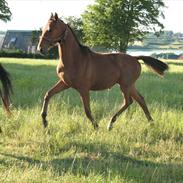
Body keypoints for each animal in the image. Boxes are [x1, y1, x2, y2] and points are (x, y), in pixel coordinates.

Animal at [37, 12, 169, 130]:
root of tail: (135, 58)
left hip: (125, 85)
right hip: (129, 85)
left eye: (50, 29)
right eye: (43, 29)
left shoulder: (83, 88)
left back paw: (110, 124)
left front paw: (96, 127)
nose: (40, 49)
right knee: (140, 99)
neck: (75, 59)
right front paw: (44, 121)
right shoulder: (65, 83)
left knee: (129, 101)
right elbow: (48, 94)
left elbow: (87, 110)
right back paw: (151, 123)